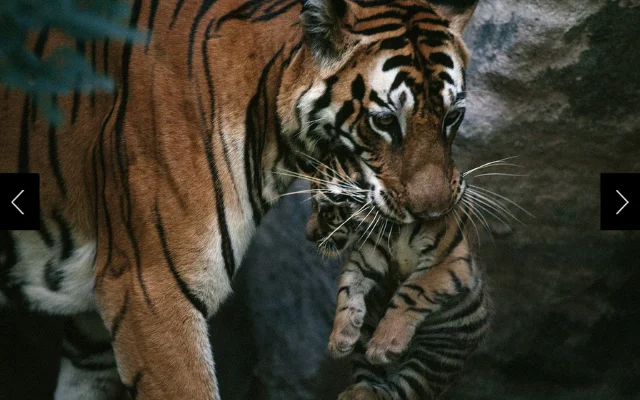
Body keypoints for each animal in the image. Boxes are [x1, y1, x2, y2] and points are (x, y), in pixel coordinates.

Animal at [304, 158, 489, 400]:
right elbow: (347, 287)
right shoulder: (367, 256)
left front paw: (383, 345)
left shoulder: (447, 260)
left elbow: (411, 292)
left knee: (405, 388)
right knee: (371, 375)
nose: (308, 235)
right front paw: (340, 338)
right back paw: (358, 390)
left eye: (325, 210)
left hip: (438, 354)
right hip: (365, 348)